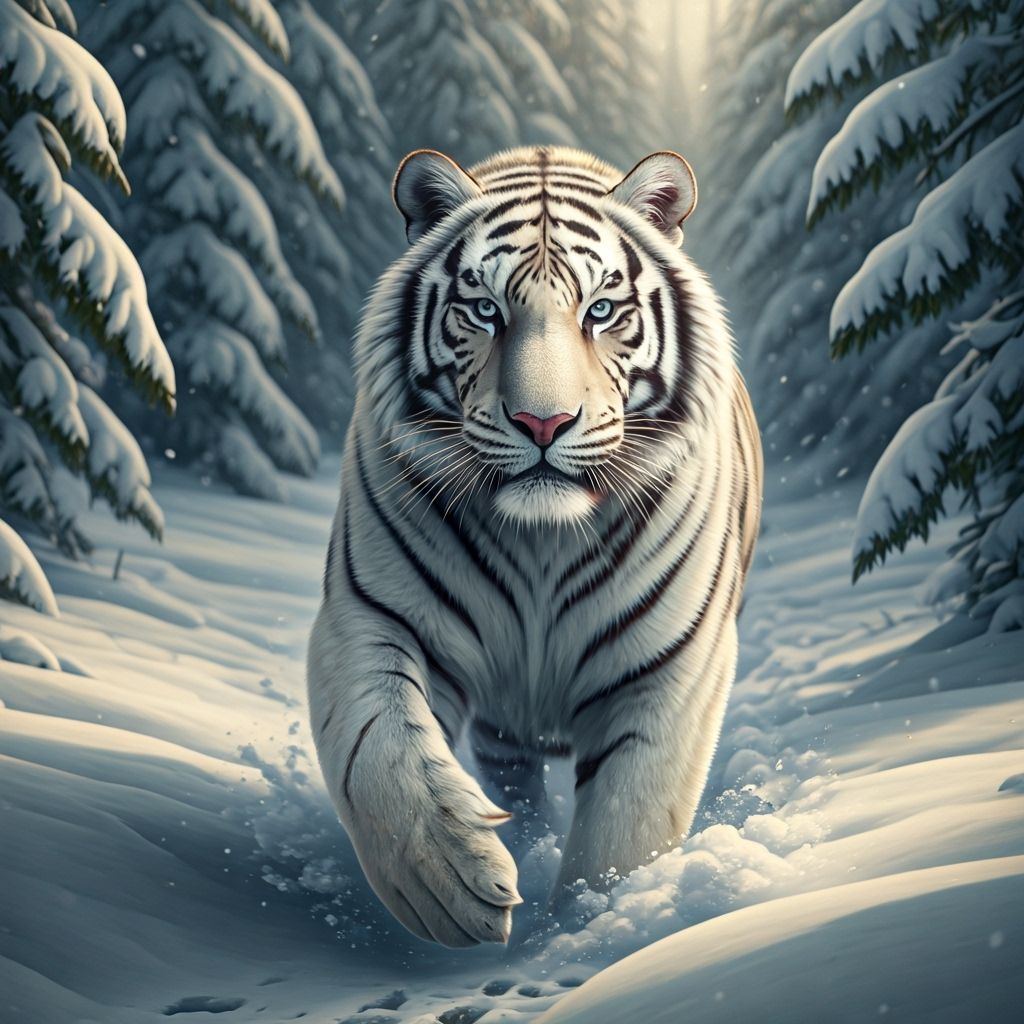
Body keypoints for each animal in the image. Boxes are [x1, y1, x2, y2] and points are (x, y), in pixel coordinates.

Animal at [307, 144, 763, 948]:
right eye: (485, 309)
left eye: (601, 310)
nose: (542, 423)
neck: (541, 541)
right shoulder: (368, 615)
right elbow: (380, 752)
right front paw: (449, 887)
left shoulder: (672, 666)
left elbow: (625, 826)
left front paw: (587, 929)